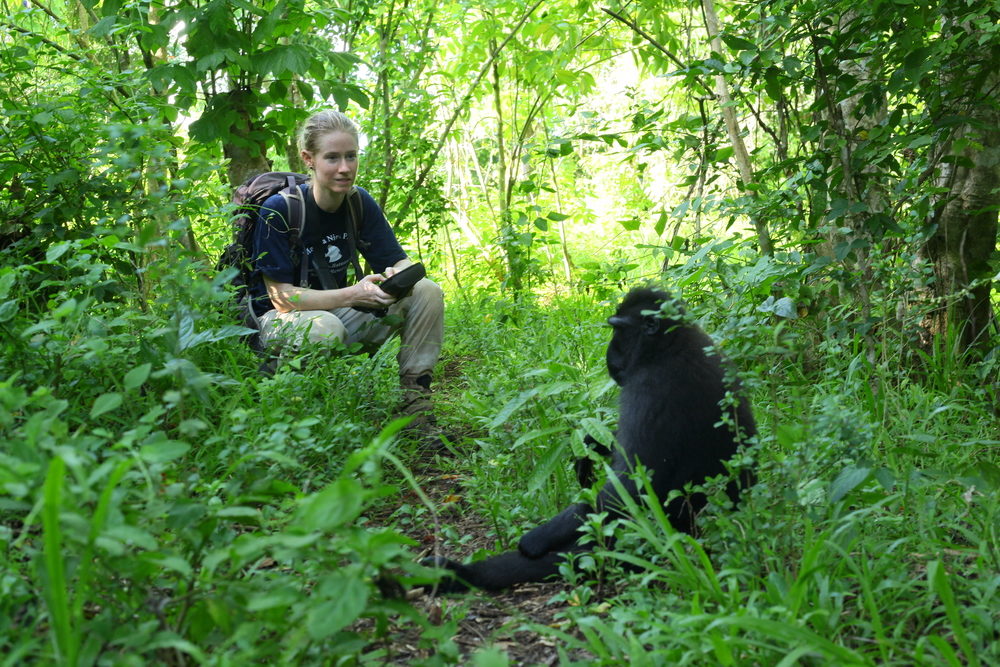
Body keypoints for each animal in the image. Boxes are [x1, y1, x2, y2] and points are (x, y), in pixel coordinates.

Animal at [426, 290, 752, 592]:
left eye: (618, 330)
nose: (609, 356)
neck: (668, 346)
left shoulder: (648, 389)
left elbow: (630, 487)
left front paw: (538, 537)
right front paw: (590, 447)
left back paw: (460, 574)